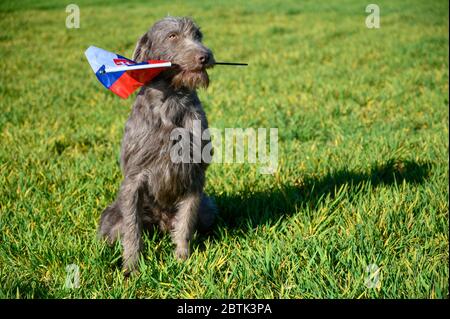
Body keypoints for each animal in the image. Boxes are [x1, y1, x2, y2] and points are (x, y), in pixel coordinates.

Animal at [99, 16, 218, 274]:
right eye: (172, 36)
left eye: (198, 35)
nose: (205, 56)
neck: (172, 100)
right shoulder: (134, 179)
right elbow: (132, 229)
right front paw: (132, 268)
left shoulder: (195, 175)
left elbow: (185, 222)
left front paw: (182, 258)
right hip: (111, 216)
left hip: (208, 208)